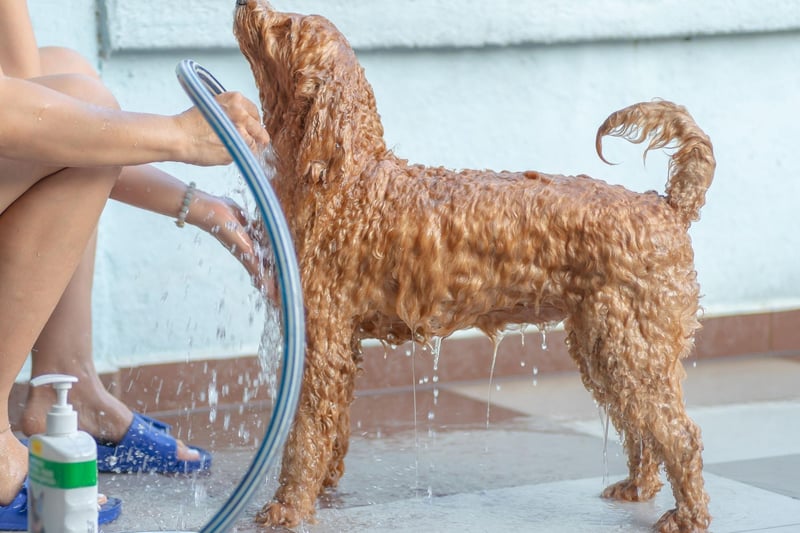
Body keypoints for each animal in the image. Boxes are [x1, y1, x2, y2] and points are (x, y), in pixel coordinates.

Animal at [231, 2, 712, 528]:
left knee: (680, 434)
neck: (347, 182)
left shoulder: (321, 339)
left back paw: (688, 516)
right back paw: (638, 487)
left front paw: (288, 506)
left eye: (286, 27)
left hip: (632, 346)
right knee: (641, 425)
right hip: (603, 345)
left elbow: (304, 434)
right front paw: (323, 486)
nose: (246, 4)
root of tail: (668, 205)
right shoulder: (341, 344)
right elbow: (332, 425)